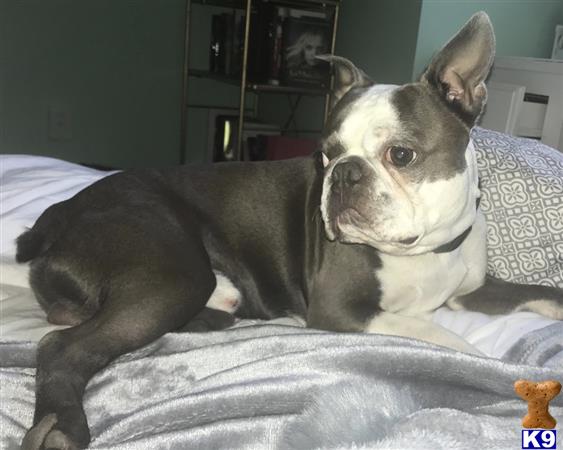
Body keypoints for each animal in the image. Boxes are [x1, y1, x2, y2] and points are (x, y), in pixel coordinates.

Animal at [15, 12, 560, 450]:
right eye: (325, 153)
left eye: (401, 155)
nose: (344, 173)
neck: (426, 250)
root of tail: (60, 212)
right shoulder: (342, 309)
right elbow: (453, 343)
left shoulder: (474, 290)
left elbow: (535, 292)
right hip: (172, 275)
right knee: (62, 346)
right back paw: (62, 426)